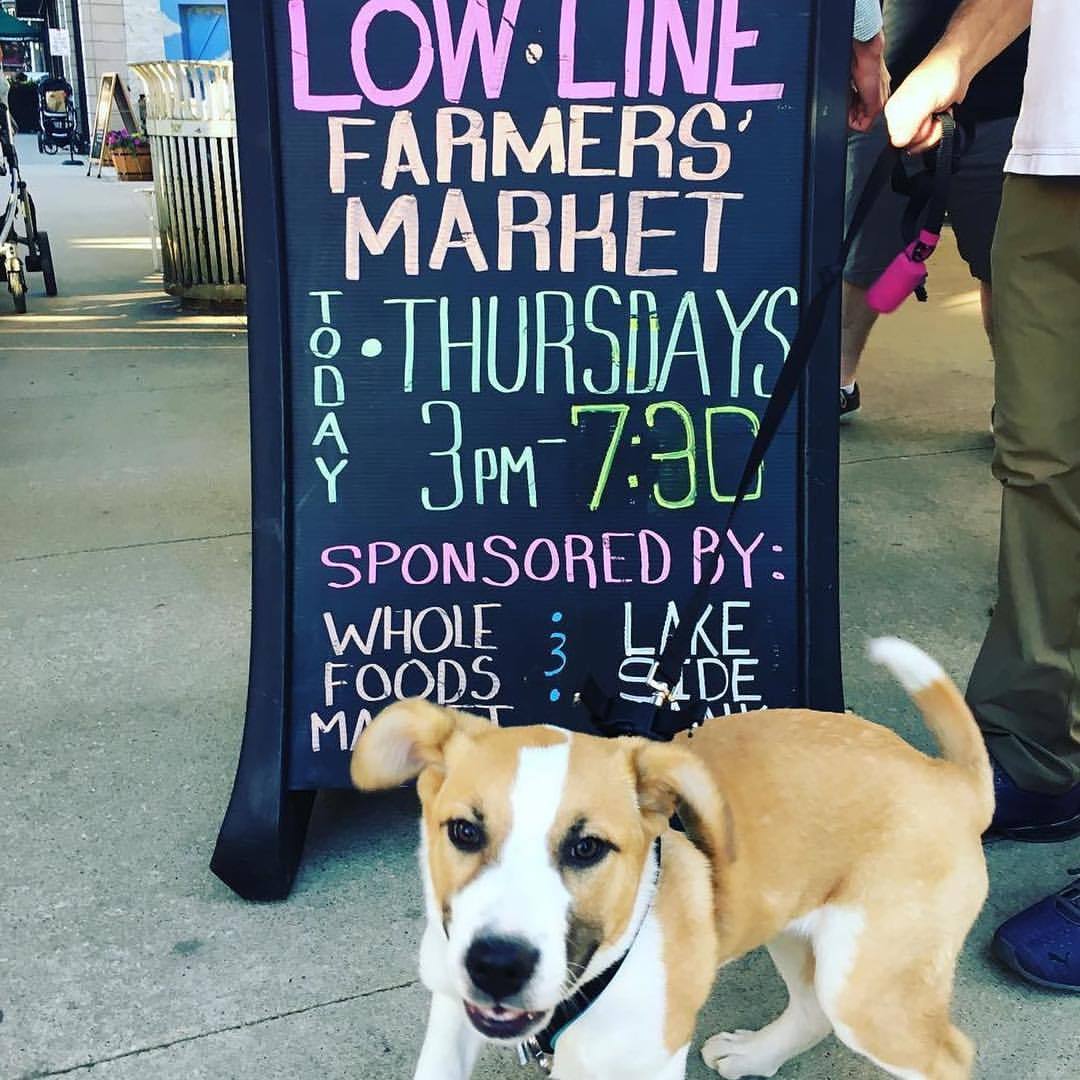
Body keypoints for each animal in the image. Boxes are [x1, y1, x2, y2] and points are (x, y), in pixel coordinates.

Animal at [351, 638, 992, 1080]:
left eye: (587, 848)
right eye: (463, 832)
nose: (497, 966)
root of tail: (954, 782)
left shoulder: (647, 1063)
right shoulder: (452, 1009)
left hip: (870, 985)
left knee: (948, 1057)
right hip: (789, 922)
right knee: (812, 1008)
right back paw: (754, 1055)